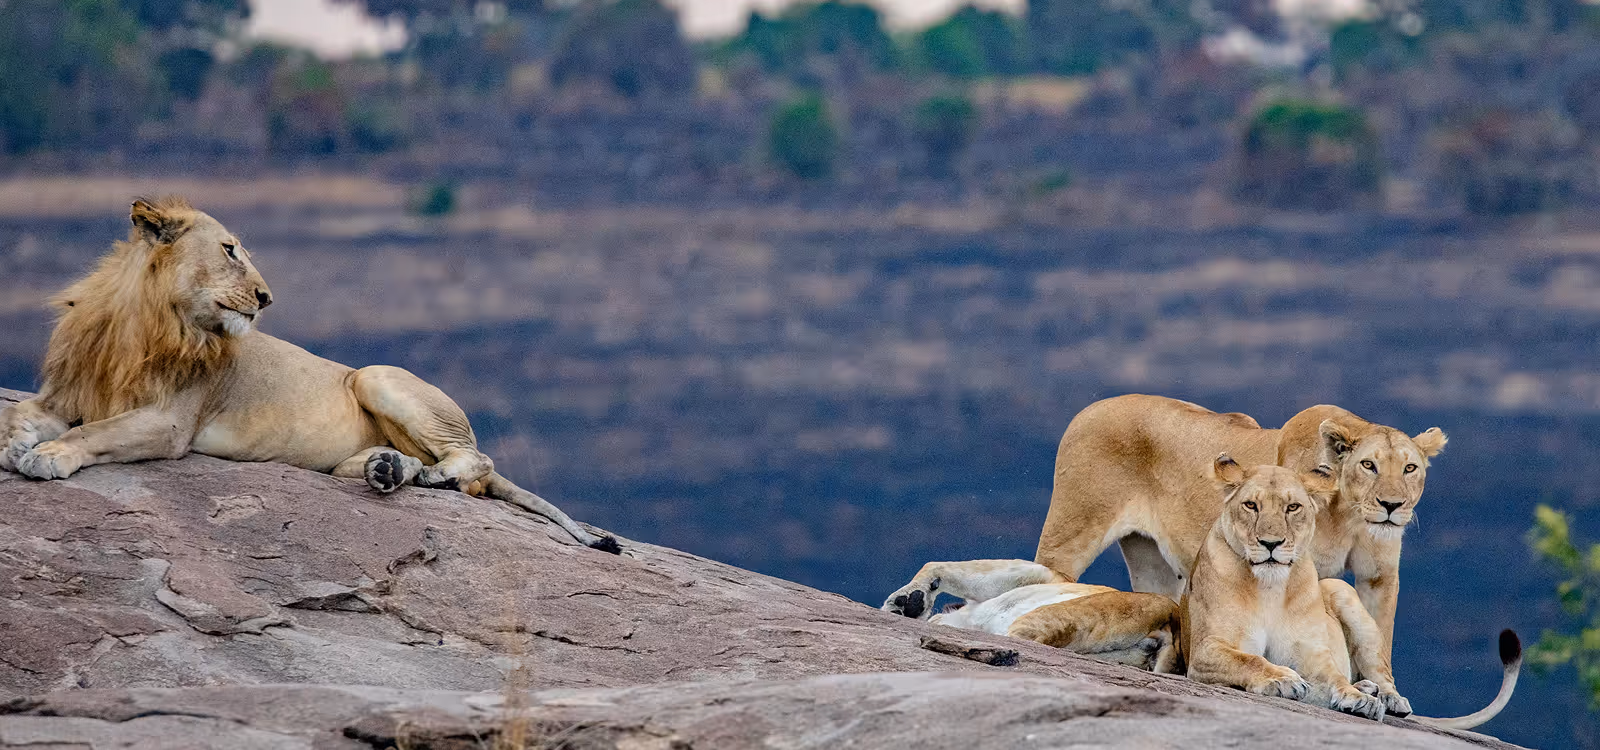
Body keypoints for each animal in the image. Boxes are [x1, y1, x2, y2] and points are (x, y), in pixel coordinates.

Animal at [0, 197, 620, 554]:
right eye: (230, 250)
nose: (266, 297)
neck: (146, 319)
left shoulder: (172, 422)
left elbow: (95, 431)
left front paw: (50, 455)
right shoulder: (64, 394)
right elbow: (22, 413)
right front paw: (17, 444)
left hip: (374, 375)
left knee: (477, 463)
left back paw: (428, 474)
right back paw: (389, 469)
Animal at [1033, 394, 1447, 659]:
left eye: (1410, 468)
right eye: (1368, 465)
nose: (1392, 506)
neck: (1349, 515)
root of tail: (1091, 407)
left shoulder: (1379, 576)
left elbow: (1379, 634)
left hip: (1152, 560)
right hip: (1072, 531)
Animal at [1182, 455, 1518, 727]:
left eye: (1293, 507)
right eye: (1251, 505)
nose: (1270, 543)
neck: (1269, 586)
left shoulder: (1311, 652)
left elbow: (1332, 677)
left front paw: (1359, 701)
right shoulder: (1204, 650)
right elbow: (1250, 660)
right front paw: (1281, 678)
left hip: (1341, 590)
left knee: (1379, 670)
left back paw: (1385, 697)